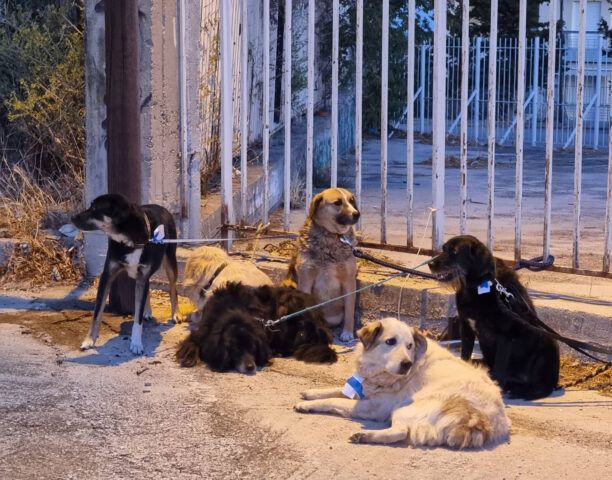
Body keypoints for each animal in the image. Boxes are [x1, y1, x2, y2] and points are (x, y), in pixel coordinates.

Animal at [71, 193, 179, 355]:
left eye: (95, 208)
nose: (72, 217)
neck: (128, 239)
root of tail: (160, 206)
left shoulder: (142, 275)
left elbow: (137, 317)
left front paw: (136, 343)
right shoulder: (107, 276)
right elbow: (96, 313)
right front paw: (89, 340)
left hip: (170, 261)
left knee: (173, 287)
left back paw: (175, 313)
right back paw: (148, 311)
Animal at [176, 282, 337, 373]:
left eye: (253, 347)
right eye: (235, 348)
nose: (250, 366)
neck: (232, 310)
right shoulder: (202, 332)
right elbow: (192, 343)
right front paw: (189, 356)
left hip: (287, 308)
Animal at [285, 188, 360, 342]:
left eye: (351, 201)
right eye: (337, 203)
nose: (357, 214)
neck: (332, 236)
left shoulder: (349, 281)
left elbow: (349, 312)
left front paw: (347, 332)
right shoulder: (305, 280)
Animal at [295, 318, 509, 449]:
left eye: (409, 346)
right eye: (390, 342)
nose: (407, 364)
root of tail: (480, 422)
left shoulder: (372, 408)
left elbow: (334, 401)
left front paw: (309, 405)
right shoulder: (364, 390)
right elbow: (335, 390)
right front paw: (311, 393)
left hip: (404, 409)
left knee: (399, 432)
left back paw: (365, 436)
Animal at [428, 235, 560, 400]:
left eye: (455, 251)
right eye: (444, 248)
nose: (430, 264)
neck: (476, 288)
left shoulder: (505, 337)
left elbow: (499, 370)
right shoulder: (466, 328)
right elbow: (465, 356)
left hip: (548, 347)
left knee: (542, 388)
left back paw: (522, 391)